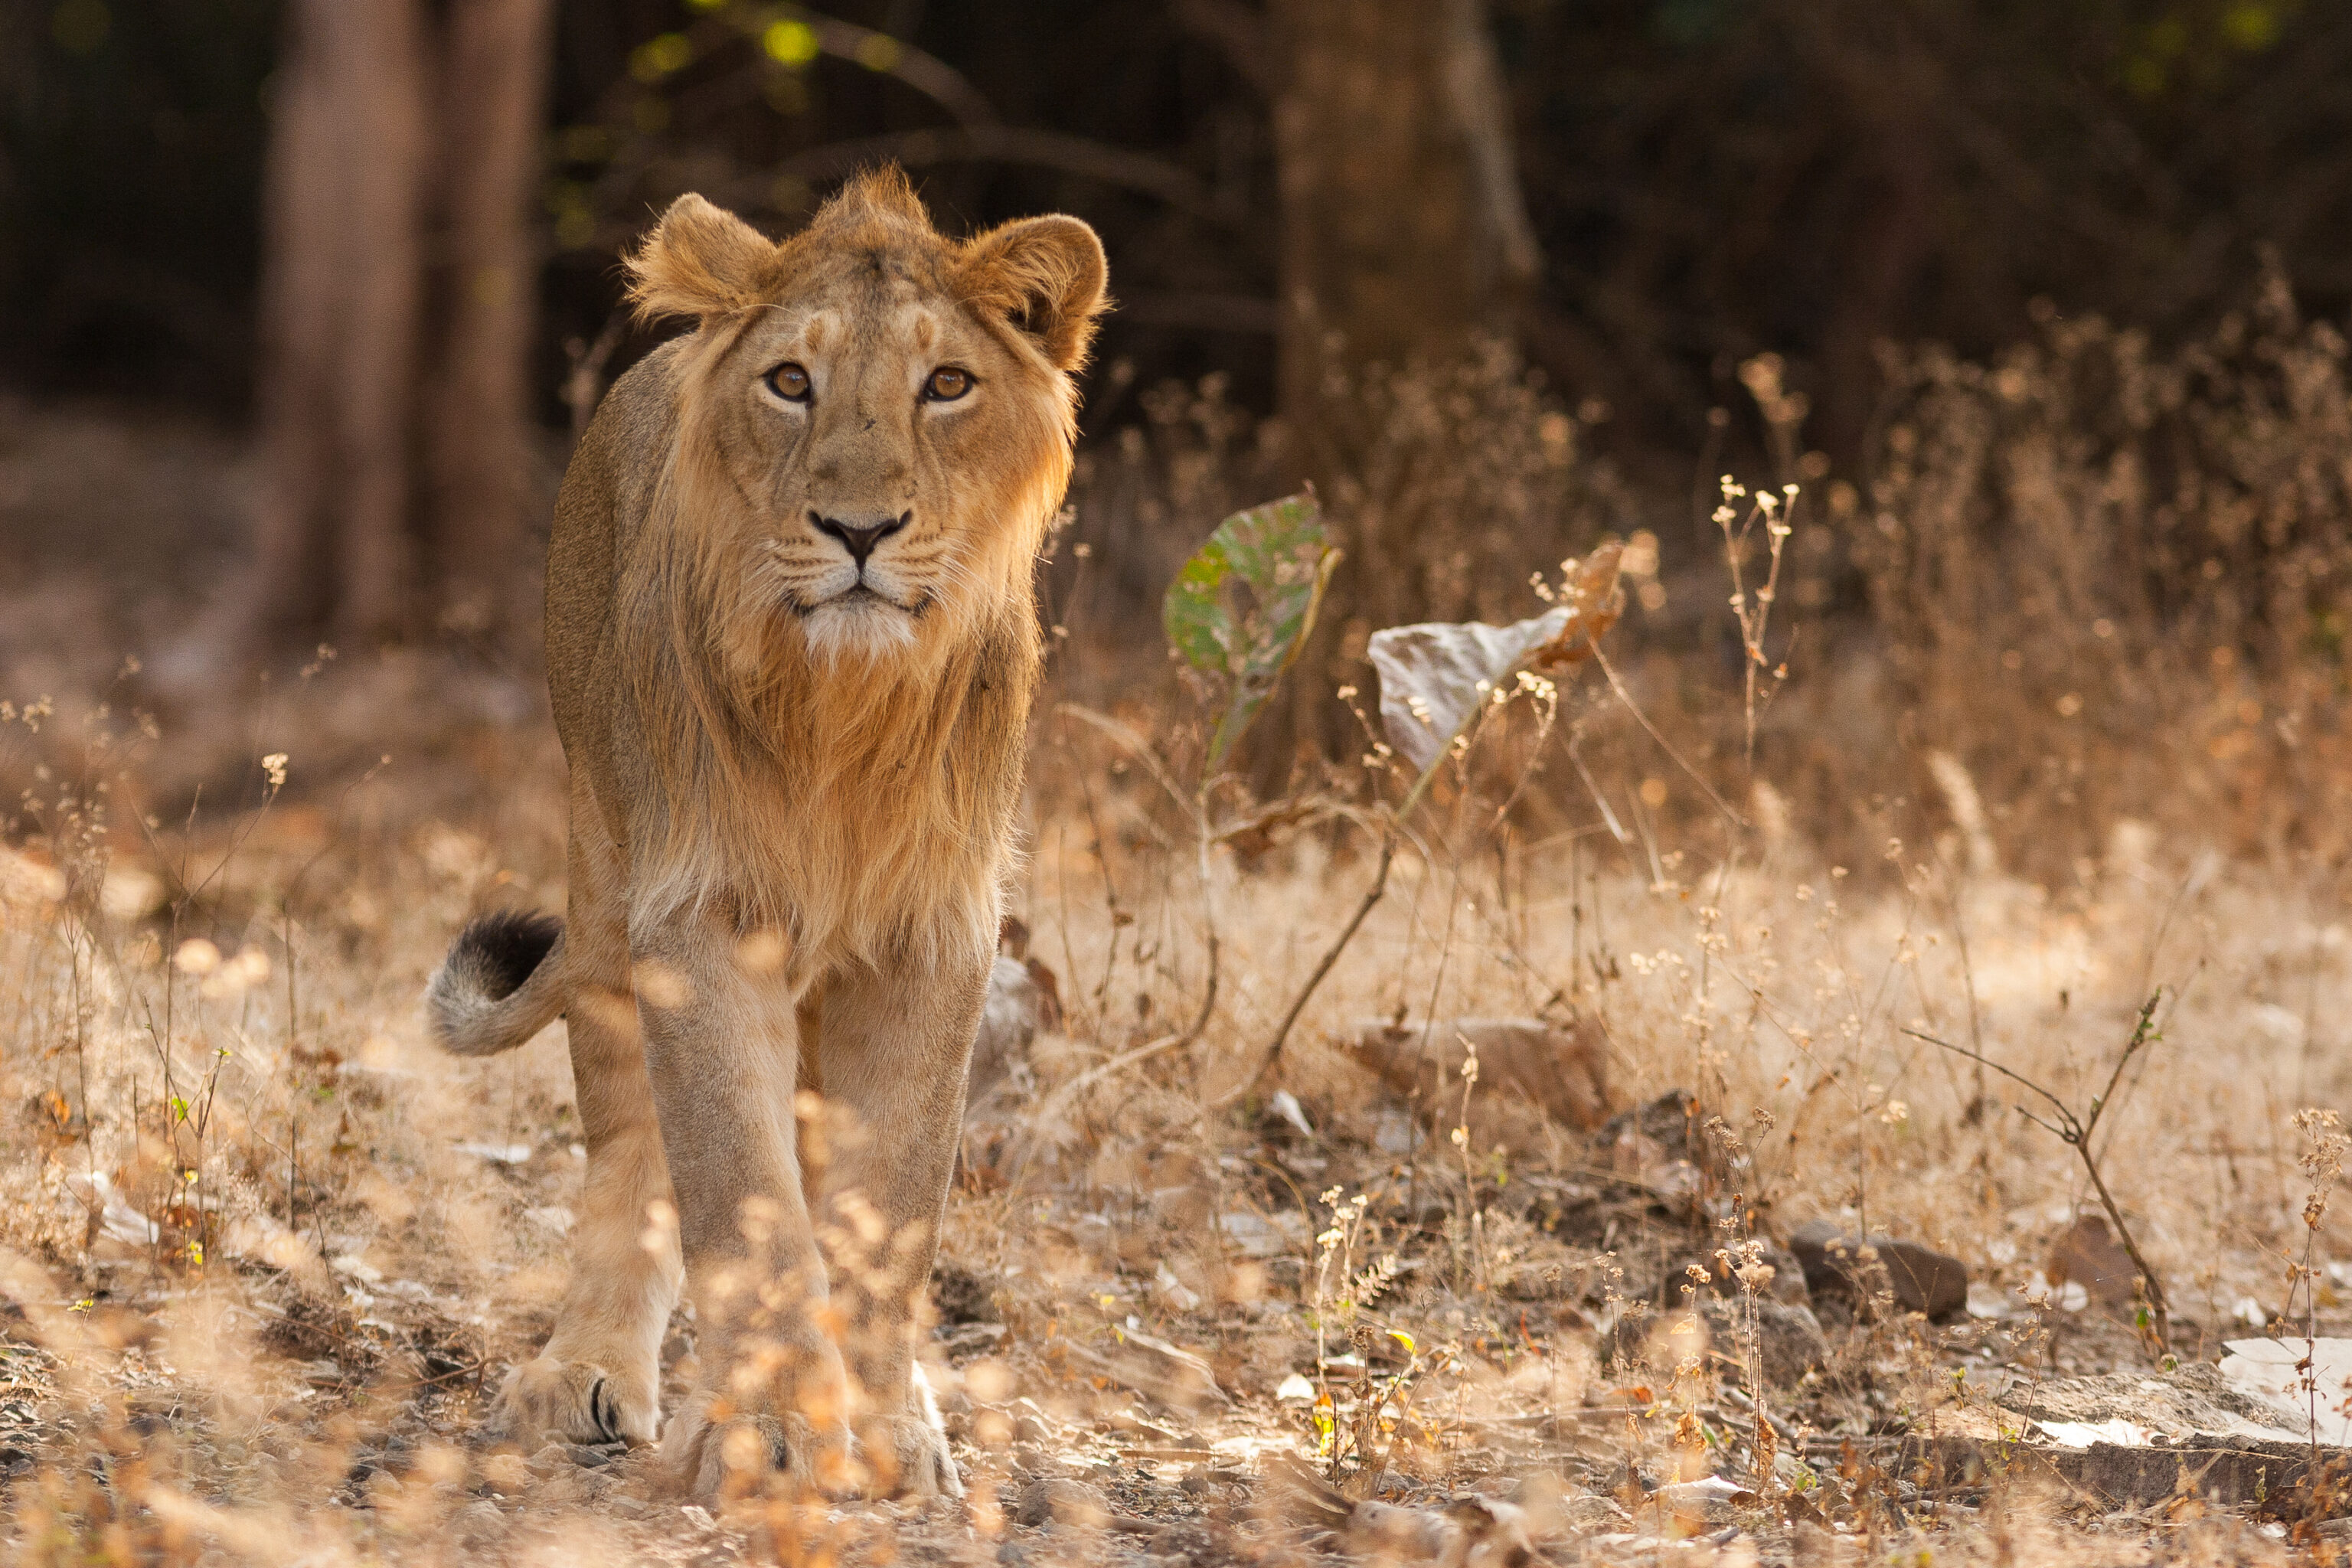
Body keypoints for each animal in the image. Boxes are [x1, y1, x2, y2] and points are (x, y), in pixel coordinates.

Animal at [428, 165, 1105, 1504]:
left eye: (947, 384)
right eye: (791, 380)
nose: (860, 530)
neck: (844, 708)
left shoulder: (935, 934)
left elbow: (892, 1202)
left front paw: (889, 1433)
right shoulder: (697, 914)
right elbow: (740, 1192)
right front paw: (775, 1433)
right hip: (604, 879)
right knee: (631, 1150)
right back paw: (583, 1371)